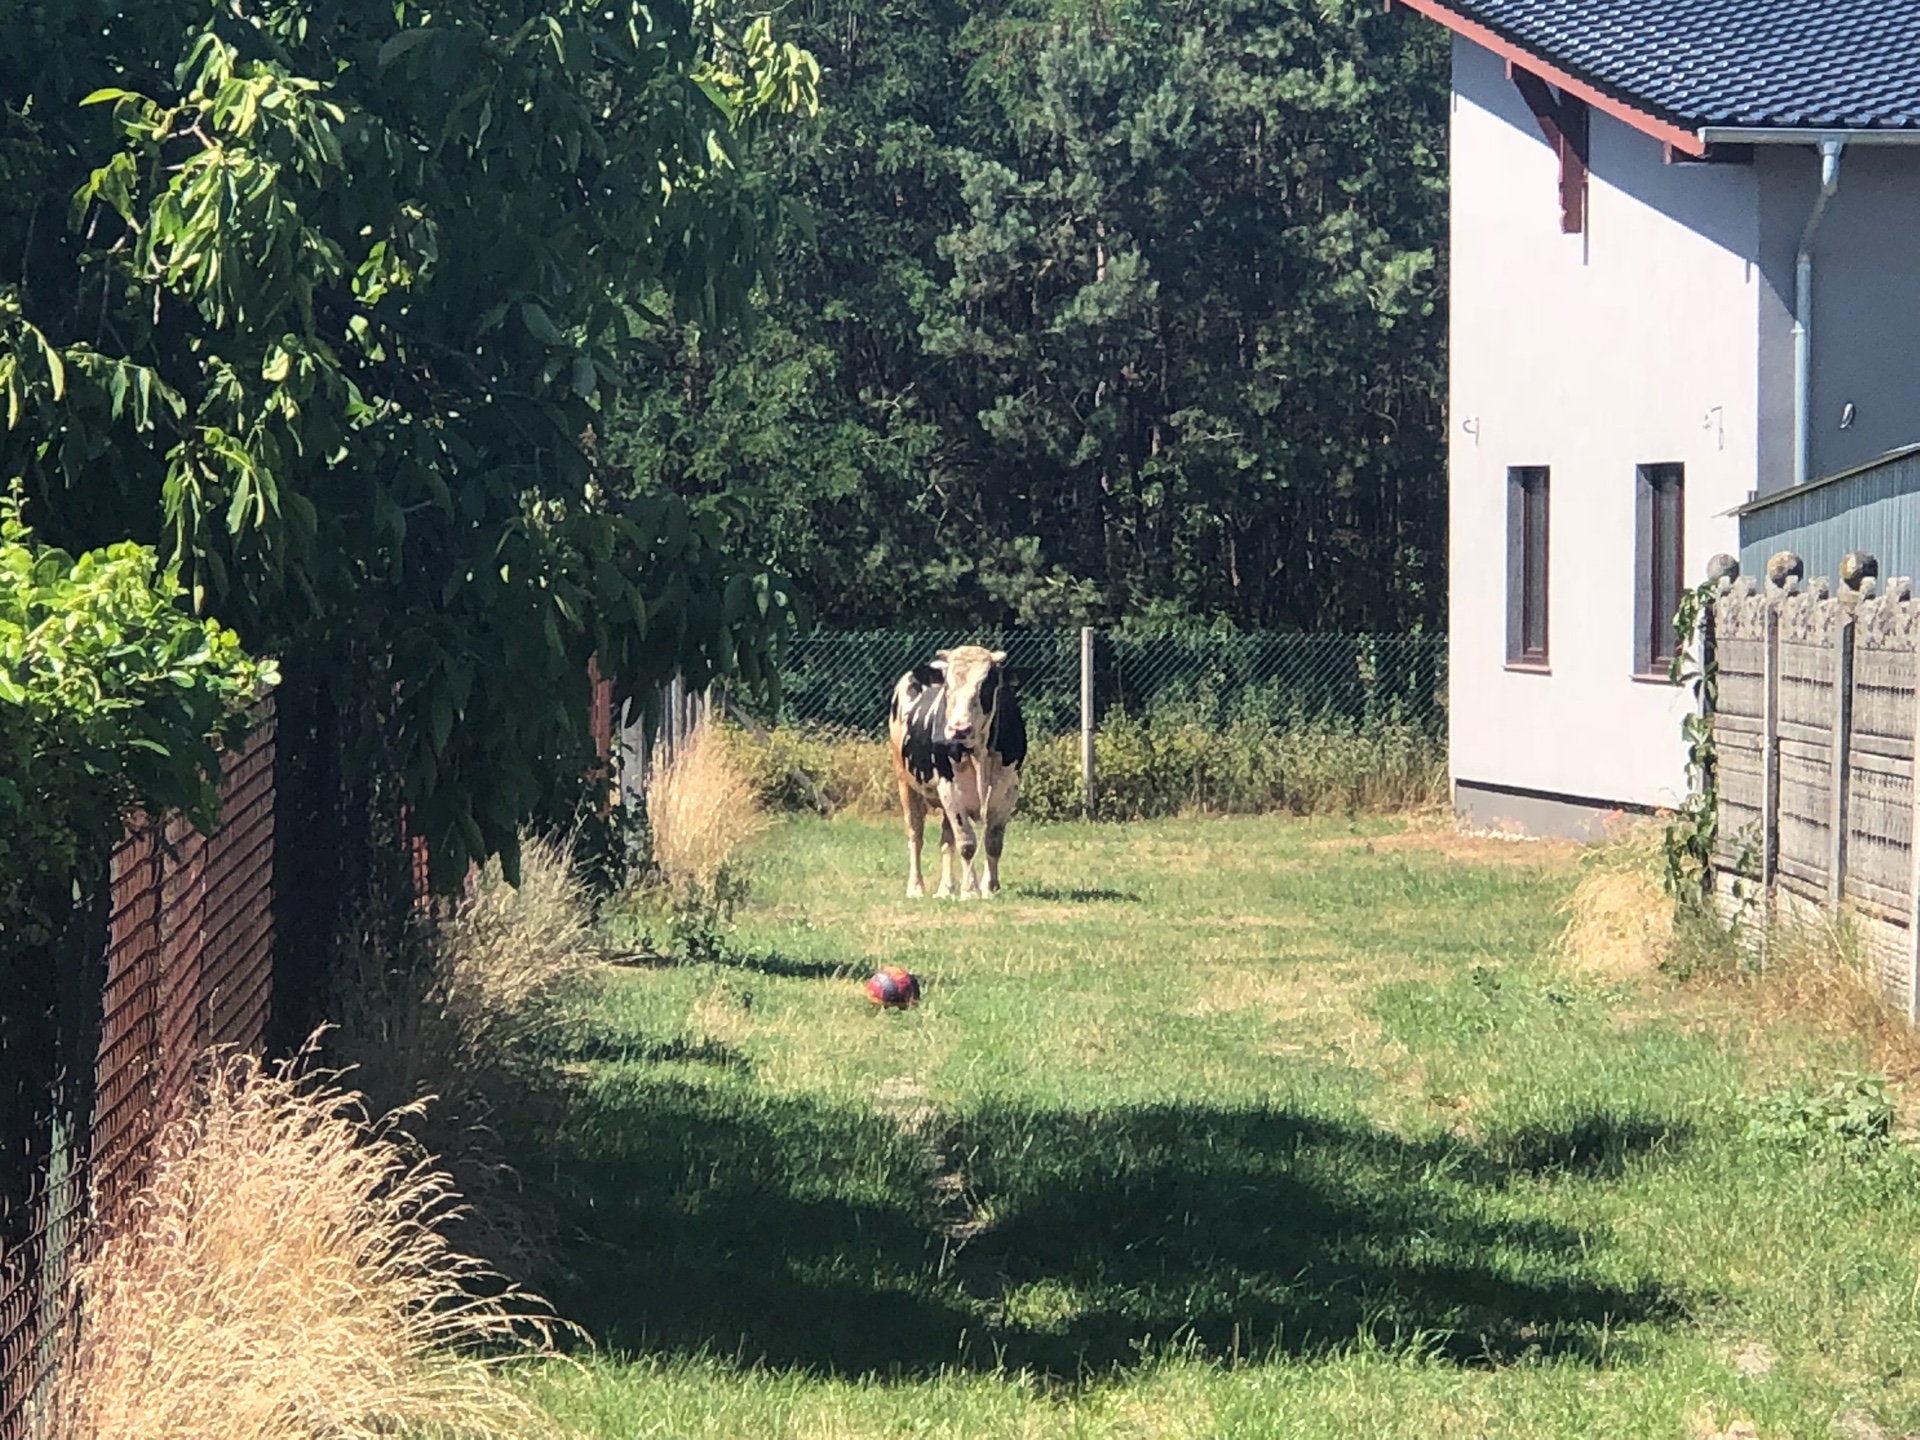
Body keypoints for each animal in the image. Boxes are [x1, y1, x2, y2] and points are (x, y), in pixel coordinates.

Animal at [890, 648, 1029, 898]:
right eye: (947, 686)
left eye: (987, 683)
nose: (959, 729)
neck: (980, 754)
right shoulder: (950, 789)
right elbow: (967, 843)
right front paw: (970, 890)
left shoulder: (1009, 790)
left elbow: (993, 842)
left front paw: (990, 887)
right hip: (905, 782)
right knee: (915, 835)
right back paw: (916, 887)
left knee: (947, 841)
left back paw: (946, 888)